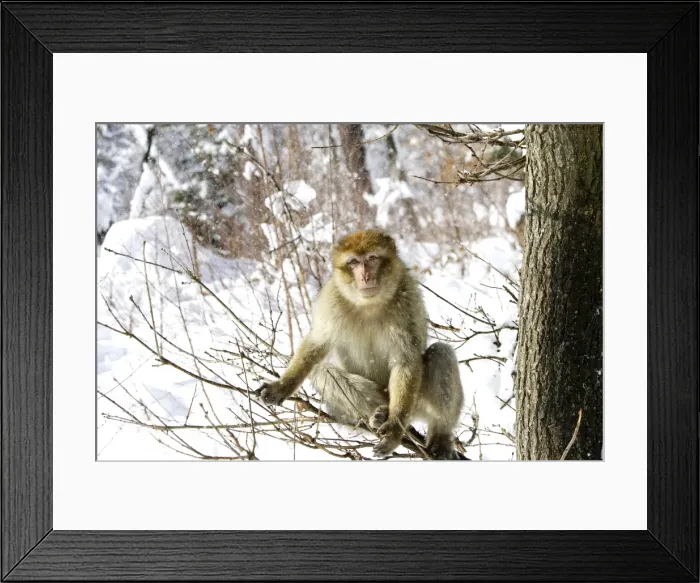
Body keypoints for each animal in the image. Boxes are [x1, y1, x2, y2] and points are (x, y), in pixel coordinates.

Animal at [258, 230, 464, 459]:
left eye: (372, 258)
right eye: (354, 262)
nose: (365, 276)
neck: (369, 305)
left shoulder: (408, 300)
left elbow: (406, 361)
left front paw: (394, 430)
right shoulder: (331, 299)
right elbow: (317, 343)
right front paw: (282, 387)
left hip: (416, 403)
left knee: (441, 353)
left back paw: (439, 438)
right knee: (323, 372)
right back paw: (377, 415)